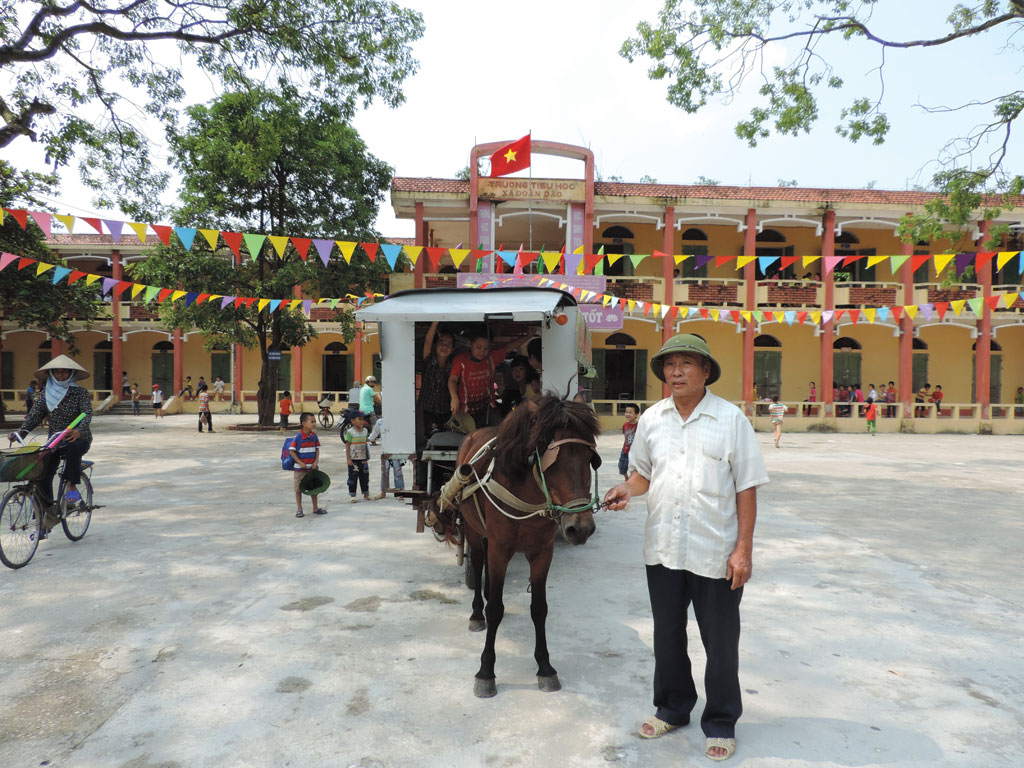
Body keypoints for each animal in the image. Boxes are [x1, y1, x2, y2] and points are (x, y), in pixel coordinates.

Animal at [434, 393, 598, 700]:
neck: (528, 491)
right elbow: (495, 610)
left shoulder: (543, 552)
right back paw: (477, 613)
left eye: (591, 459)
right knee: (478, 562)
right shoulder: (500, 548)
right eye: (552, 460)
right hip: (474, 530)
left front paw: (545, 667)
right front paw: (485, 672)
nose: (580, 527)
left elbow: (539, 608)